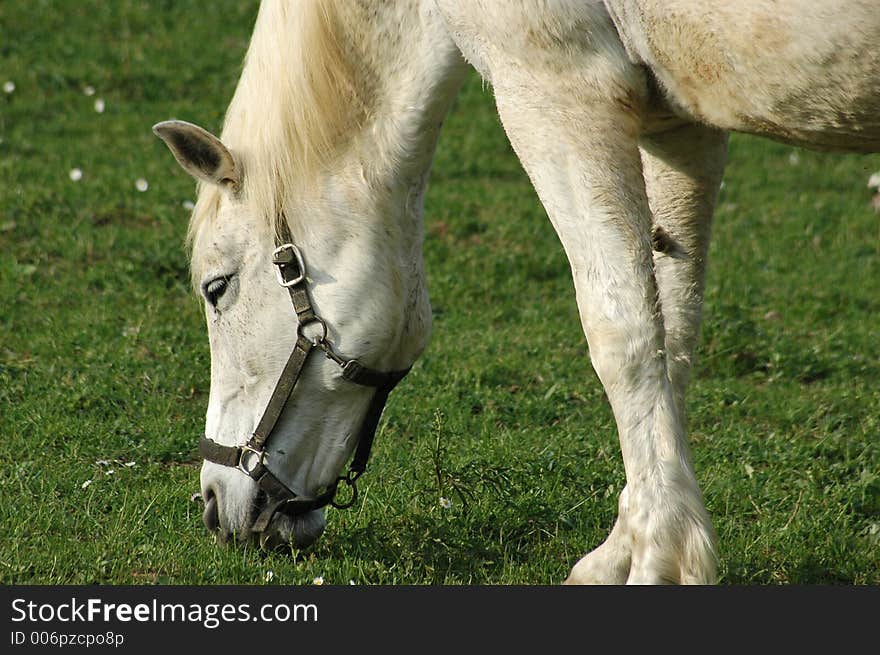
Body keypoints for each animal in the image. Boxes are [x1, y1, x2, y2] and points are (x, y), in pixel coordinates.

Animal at [153, 0, 880, 584]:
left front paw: (658, 558)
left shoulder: (556, 87)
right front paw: (626, 544)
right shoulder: (680, 123)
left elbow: (623, 336)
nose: (212, 504)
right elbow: (669, 335)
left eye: (216, 288)